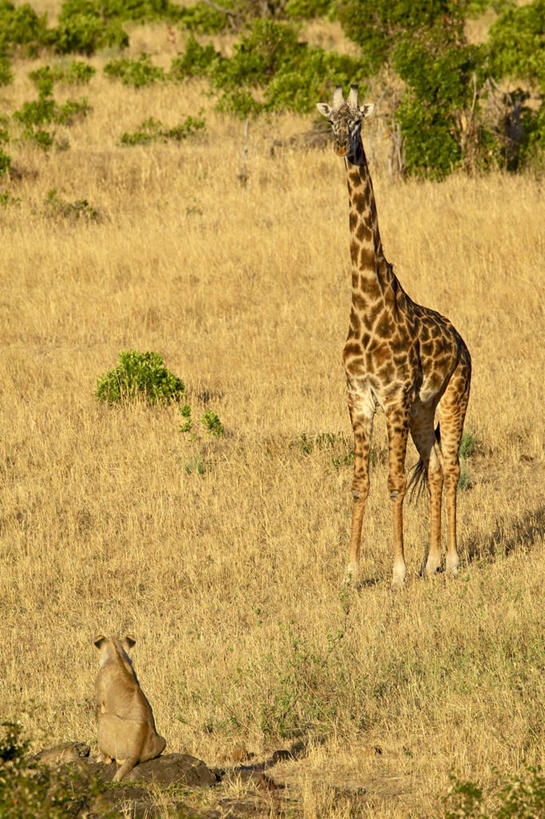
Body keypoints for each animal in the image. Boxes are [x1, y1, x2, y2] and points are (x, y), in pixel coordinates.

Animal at [316, 85, 470, 588]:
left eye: (358, 122)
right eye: (331, 121)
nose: (341, 147)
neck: (367, 308)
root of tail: (462, 341)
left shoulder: (394, 396)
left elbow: (396, 481)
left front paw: (398, 570)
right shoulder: (360, 397)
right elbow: (360, 481)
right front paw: (351, 569)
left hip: (453, 396)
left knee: (453, 465)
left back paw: (452, 560)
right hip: (424, 410)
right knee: (437, 467)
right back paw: (432, 560)